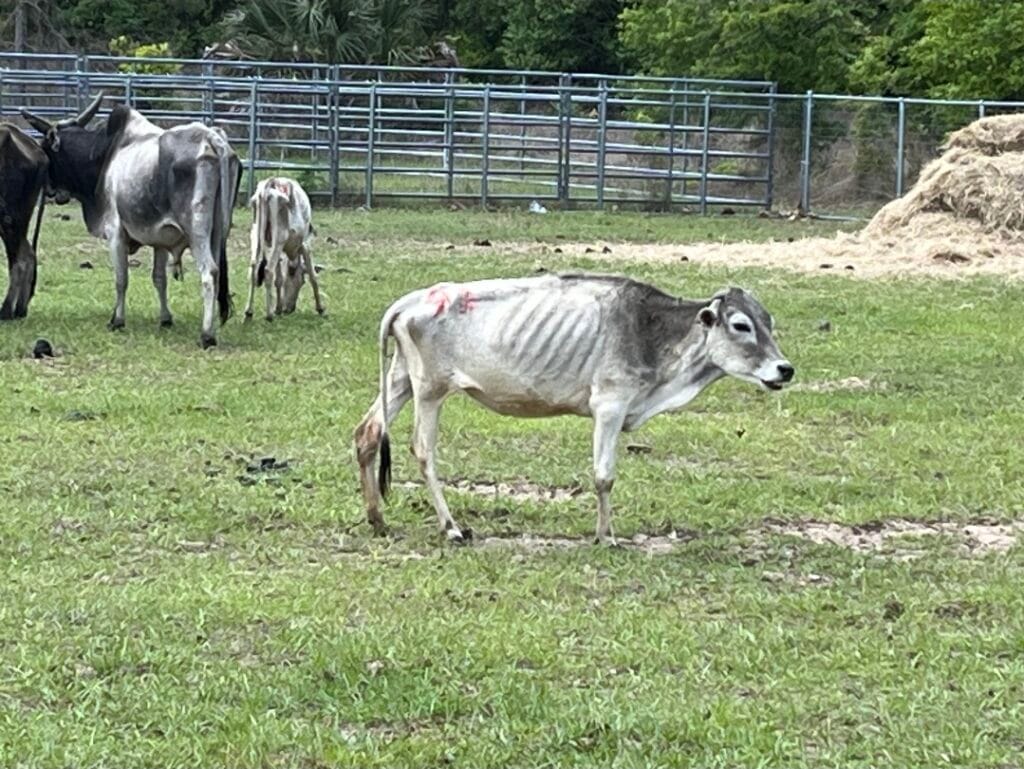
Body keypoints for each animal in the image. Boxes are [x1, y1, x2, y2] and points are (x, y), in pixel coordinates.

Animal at [22, 94, 242, 347]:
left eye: (45, 149)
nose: (48, 191)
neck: (104, 154)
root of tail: (212, 139)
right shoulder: (160, 237)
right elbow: (159, 278)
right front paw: (165, 319)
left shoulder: (115, 232)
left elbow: (121, 278)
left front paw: (117, 320)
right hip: (218, 232)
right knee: (217, 276)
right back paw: (212, 327)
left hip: (197, 230)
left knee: (209, 272)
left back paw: (206, 335)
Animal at [244, 176, 324, 321]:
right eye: (301, 282)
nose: (289, 309)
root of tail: (271, 183)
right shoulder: (305, 245)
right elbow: (313, 277)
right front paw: (320, 308)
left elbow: (279, 280)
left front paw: (278, 308)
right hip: (279, 237)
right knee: (268, 270)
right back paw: (269, 315)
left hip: (256, 234)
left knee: (253, 267)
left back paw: (248, 312)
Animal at [354, 274, 795, 544]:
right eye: (740, 325)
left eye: (769, 322)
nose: (785, 369)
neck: (650, 331)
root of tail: (408, 301)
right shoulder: (610, 406)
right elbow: (604, 477)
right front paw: (606, 536)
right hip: (430, 389)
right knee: (423, 452)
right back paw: (452, 527)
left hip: (400, 380)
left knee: (367, 434)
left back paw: (377, 519)